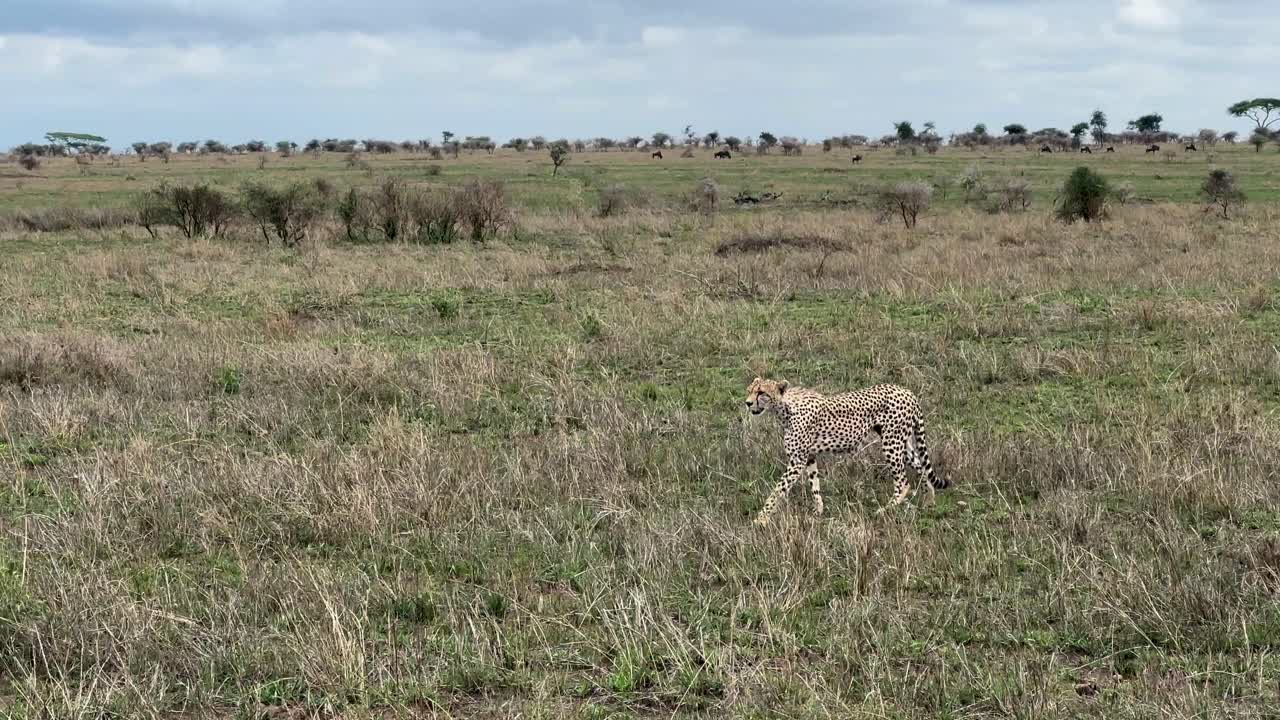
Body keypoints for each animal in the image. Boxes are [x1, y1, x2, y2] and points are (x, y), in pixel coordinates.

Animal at [745, 377, 948, 525]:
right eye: (749, 390)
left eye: (761, 392)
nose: (747, 403)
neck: (785, 408)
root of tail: (907, 391)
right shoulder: (809, 457)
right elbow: (814, 485)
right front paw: (818, 511)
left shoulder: (797, 460)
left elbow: (777, 491)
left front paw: (761, 519)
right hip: (900, 443)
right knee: (922, 468)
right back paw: (929, 502)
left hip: (891, 443)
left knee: (903, 482)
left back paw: (885, 510)